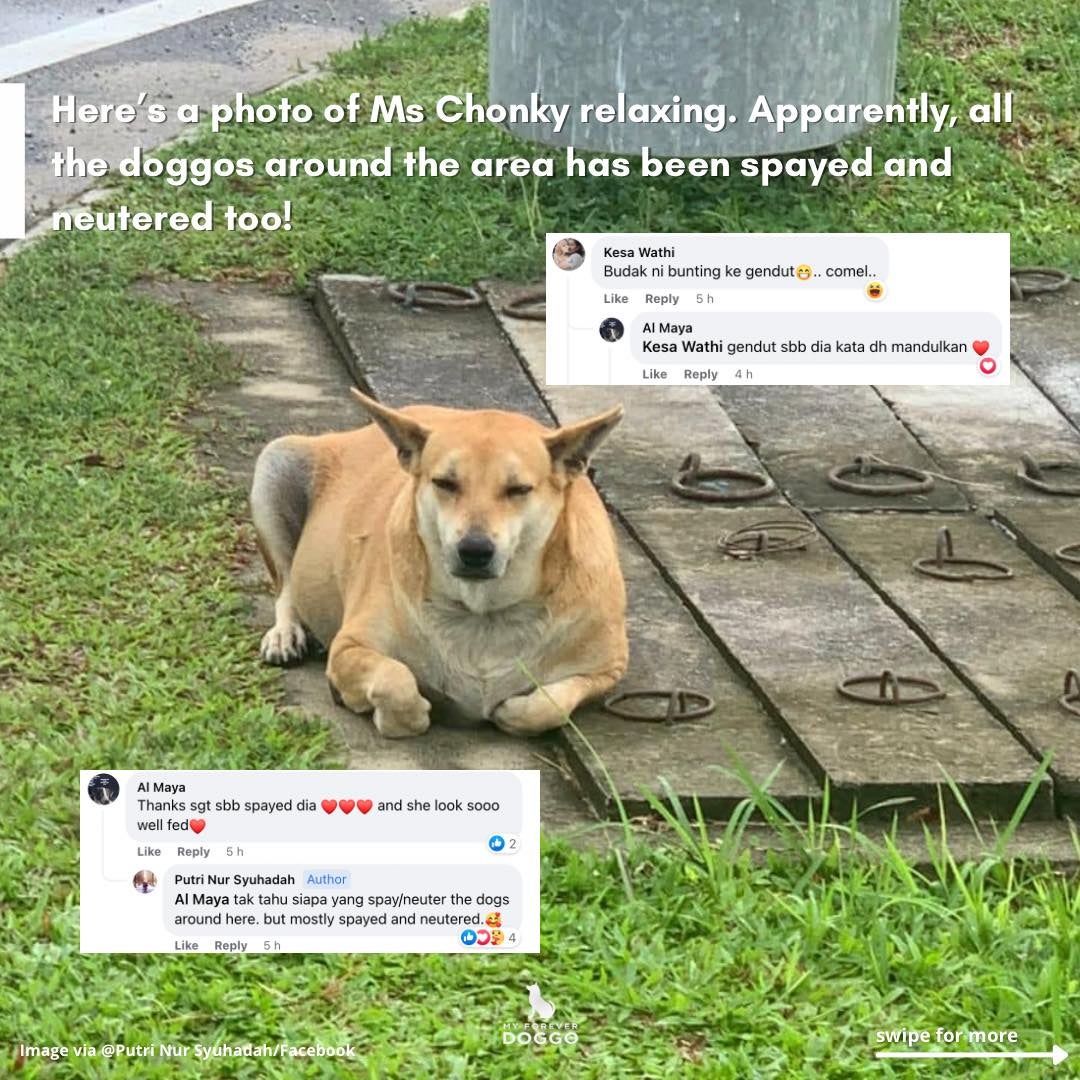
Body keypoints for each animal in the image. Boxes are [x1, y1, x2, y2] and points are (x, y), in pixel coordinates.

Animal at [249, 393, 630, 738]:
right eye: (445, 483)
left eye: (519, 489)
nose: (474, 549)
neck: (482, 612)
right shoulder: (350, 647)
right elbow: (397, 683)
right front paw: (394, 711)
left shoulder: (608, 669)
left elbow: (548, 705)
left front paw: (514, 710)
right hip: (278, 461)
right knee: (285, 584)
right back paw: (286, 633)